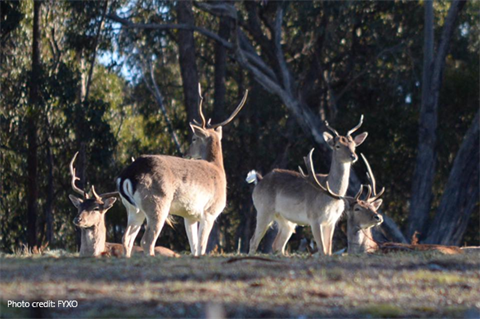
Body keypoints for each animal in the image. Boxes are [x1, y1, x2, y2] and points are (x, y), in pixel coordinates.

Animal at [116, 85, 248, 258]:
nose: (186, 153)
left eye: (193, 139)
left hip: (133, 209)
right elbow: (202, 246)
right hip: (158, 203)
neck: (218, 169)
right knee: (147, 240)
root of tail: (127, 175)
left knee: (126, 238)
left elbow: (194, 247)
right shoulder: (210, 212)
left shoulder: (189, 216)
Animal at [248, 116, 368, 256]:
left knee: (278, 245)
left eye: (354, 145)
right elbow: (322, 249)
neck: (331, 196)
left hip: (286, 221)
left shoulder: (332, 221)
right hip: (263, 211)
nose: (353, 156)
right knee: (253, 241)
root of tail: (259, 181)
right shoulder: (314, 218)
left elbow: (328, 250)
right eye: (338, 146)